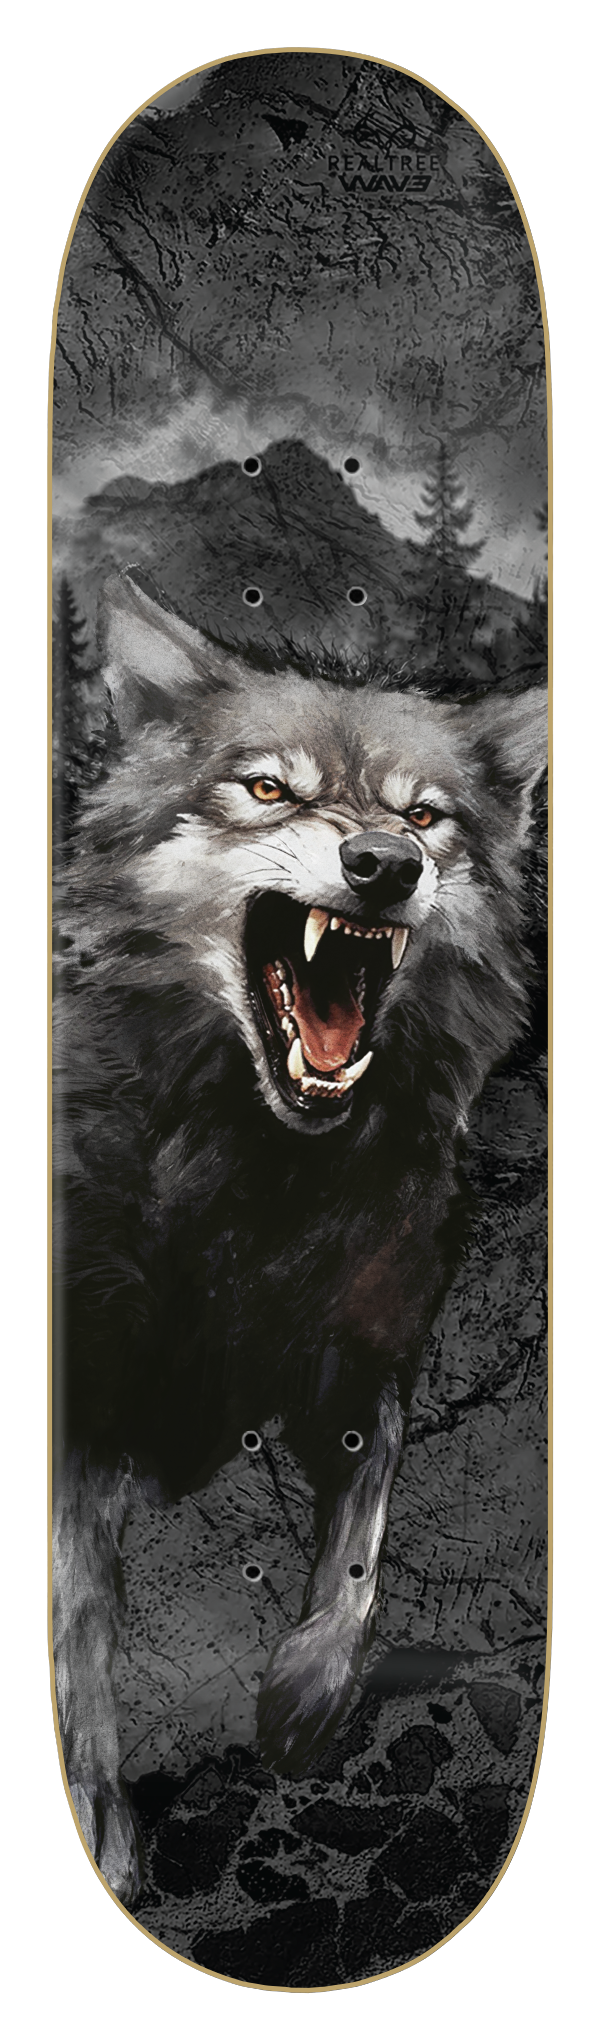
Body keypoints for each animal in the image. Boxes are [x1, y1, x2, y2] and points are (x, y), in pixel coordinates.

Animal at [52, 568, 546, 1903]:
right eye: (269, 788)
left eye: (425, 817)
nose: (382, 862)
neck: (259, 1182)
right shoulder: (87, 1407)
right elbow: (78, 1622)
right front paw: (93, 1821)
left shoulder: (364, 1358)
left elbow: (364, 1547)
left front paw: (306, 1700)